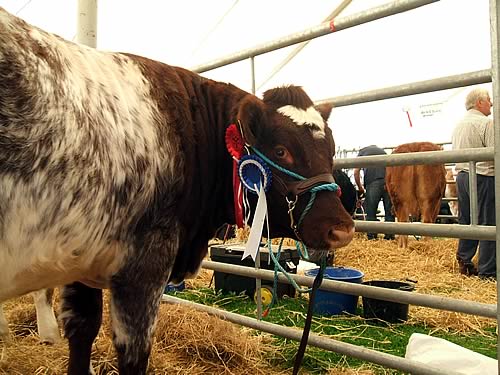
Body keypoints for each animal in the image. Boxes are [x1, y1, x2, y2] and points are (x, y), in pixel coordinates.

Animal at [0, 8, 354, 375]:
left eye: (331, 148)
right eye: (282, 150)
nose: (342, 229)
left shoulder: (79, 259)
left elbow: (82, 330)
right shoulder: (145, 263)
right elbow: (133, 353)